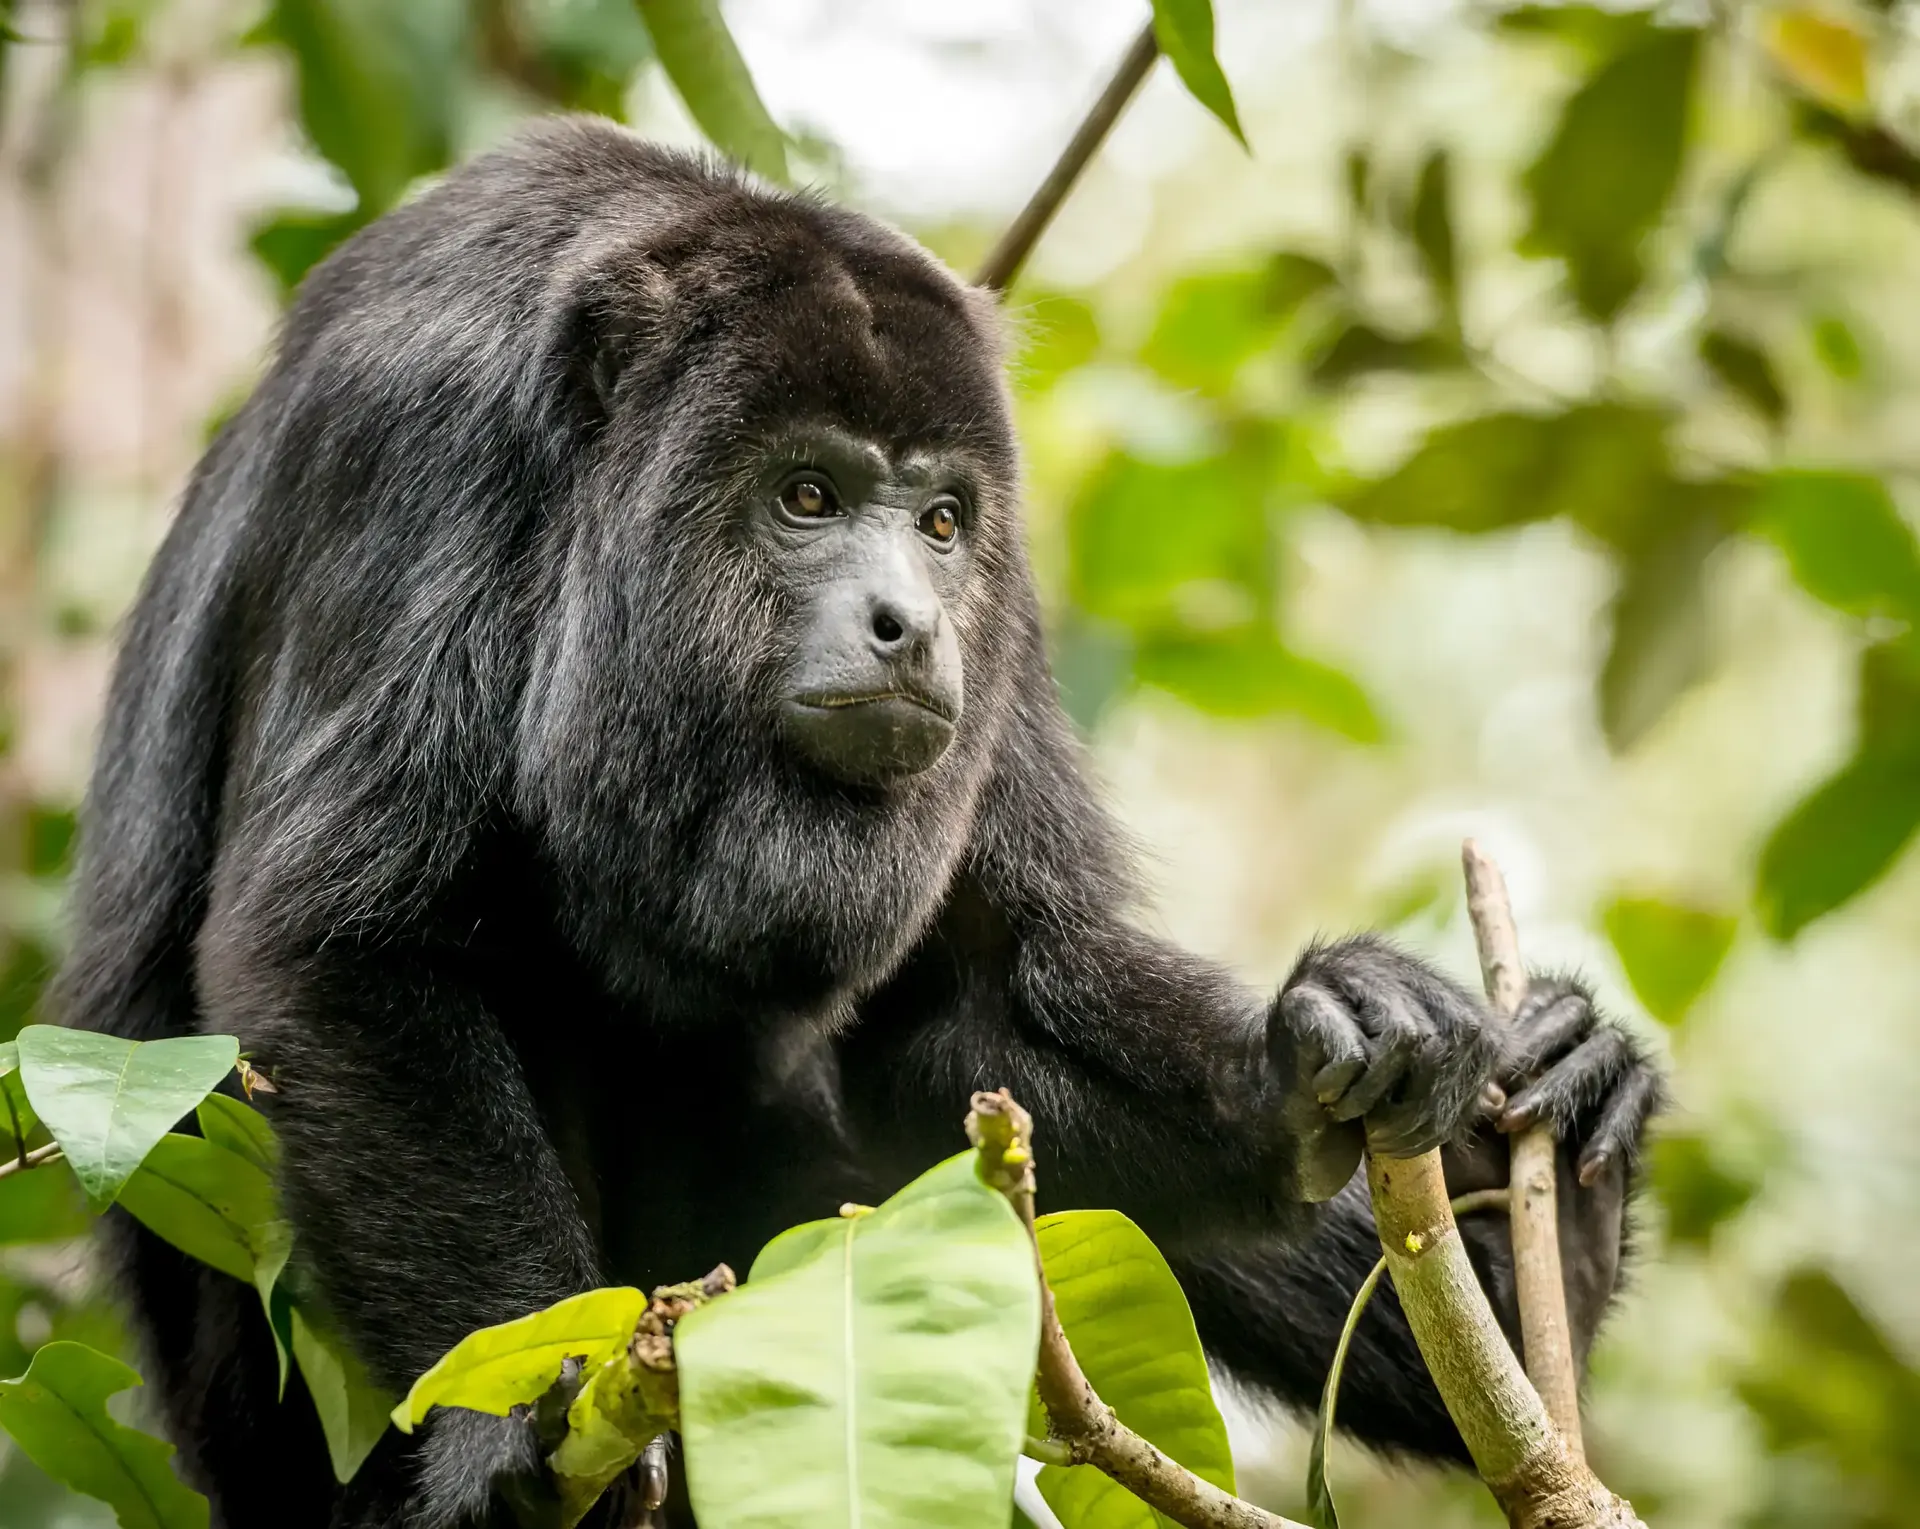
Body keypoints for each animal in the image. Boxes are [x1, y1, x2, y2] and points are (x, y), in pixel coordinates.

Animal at [55, 117, 1662, 1529]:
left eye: (944, 523)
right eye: (808, 494)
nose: (910, 624)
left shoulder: (1004, 623)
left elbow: (966, 1007)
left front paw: (1307, 1043)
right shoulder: (416, 448)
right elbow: (344, 944)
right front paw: (506, 1425)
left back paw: (1560, 1205)